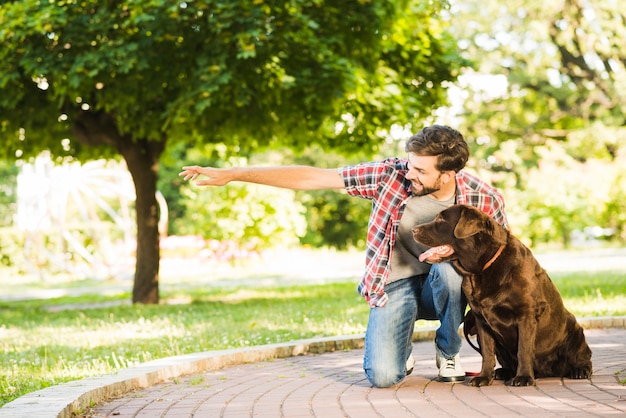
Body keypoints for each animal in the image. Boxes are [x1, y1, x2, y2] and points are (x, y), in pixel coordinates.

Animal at [410, 204, 588, 386]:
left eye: (441, 220)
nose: (413, 230)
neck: (482, 269)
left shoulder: (526, 314)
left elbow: (524, 349)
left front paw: (524, 377)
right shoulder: (481, 320)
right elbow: (488, 353)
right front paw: (484, 376)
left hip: (575, 329)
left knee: (583, 358)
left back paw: (579, 370)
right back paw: (503, 372)